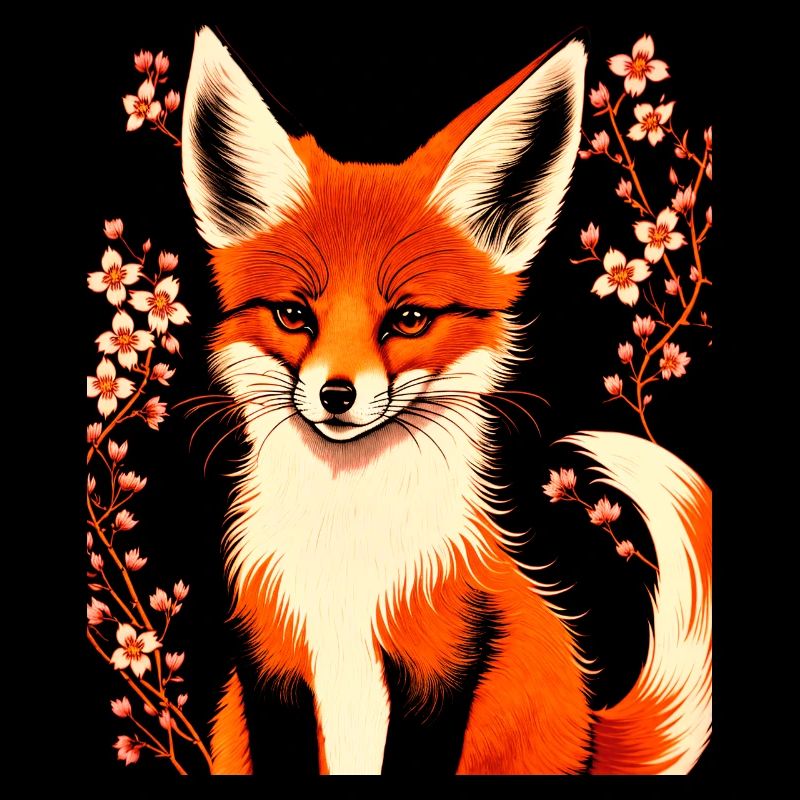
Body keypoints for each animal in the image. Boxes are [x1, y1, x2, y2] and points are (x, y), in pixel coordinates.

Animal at [181, 27, 711, 774]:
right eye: (293, 315)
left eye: (407, 319)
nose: (336, 394)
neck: (346, 552)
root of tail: (591, 733)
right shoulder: (271, 660)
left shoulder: (446, 659)